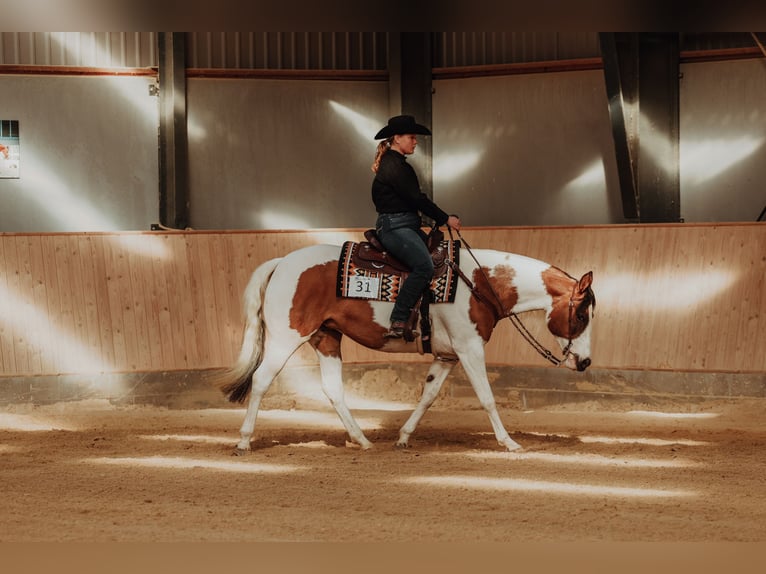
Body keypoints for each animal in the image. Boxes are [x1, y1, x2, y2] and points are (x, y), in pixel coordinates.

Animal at [207, 239, 595, 454]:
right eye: (581, 315)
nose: (585, 362)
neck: (480, 283)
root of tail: (282, 263)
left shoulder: (448, 355)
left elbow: (428, 396)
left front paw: (404, 437)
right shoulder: (469, 348)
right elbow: (486, 398)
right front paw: (510, 443)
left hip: (327, 338)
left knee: (332, 390)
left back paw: (362, 441)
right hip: (286, 337)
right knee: (261, 381)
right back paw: (244, 441)